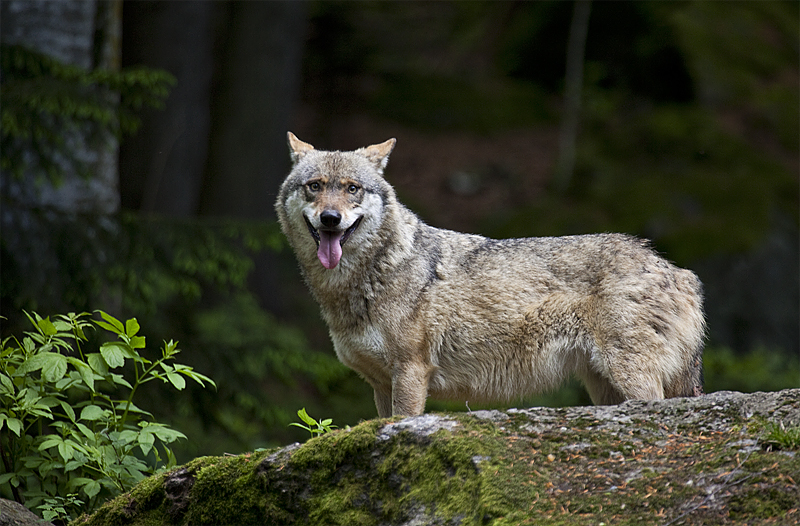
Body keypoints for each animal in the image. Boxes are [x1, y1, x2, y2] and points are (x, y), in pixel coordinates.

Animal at [276, 134, 708, 418]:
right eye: (314, 186)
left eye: (352, 189)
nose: (330, 219)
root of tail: (679, 272)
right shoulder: (381, 384)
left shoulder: (412, 373)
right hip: (605, 389)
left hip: (632, 378)